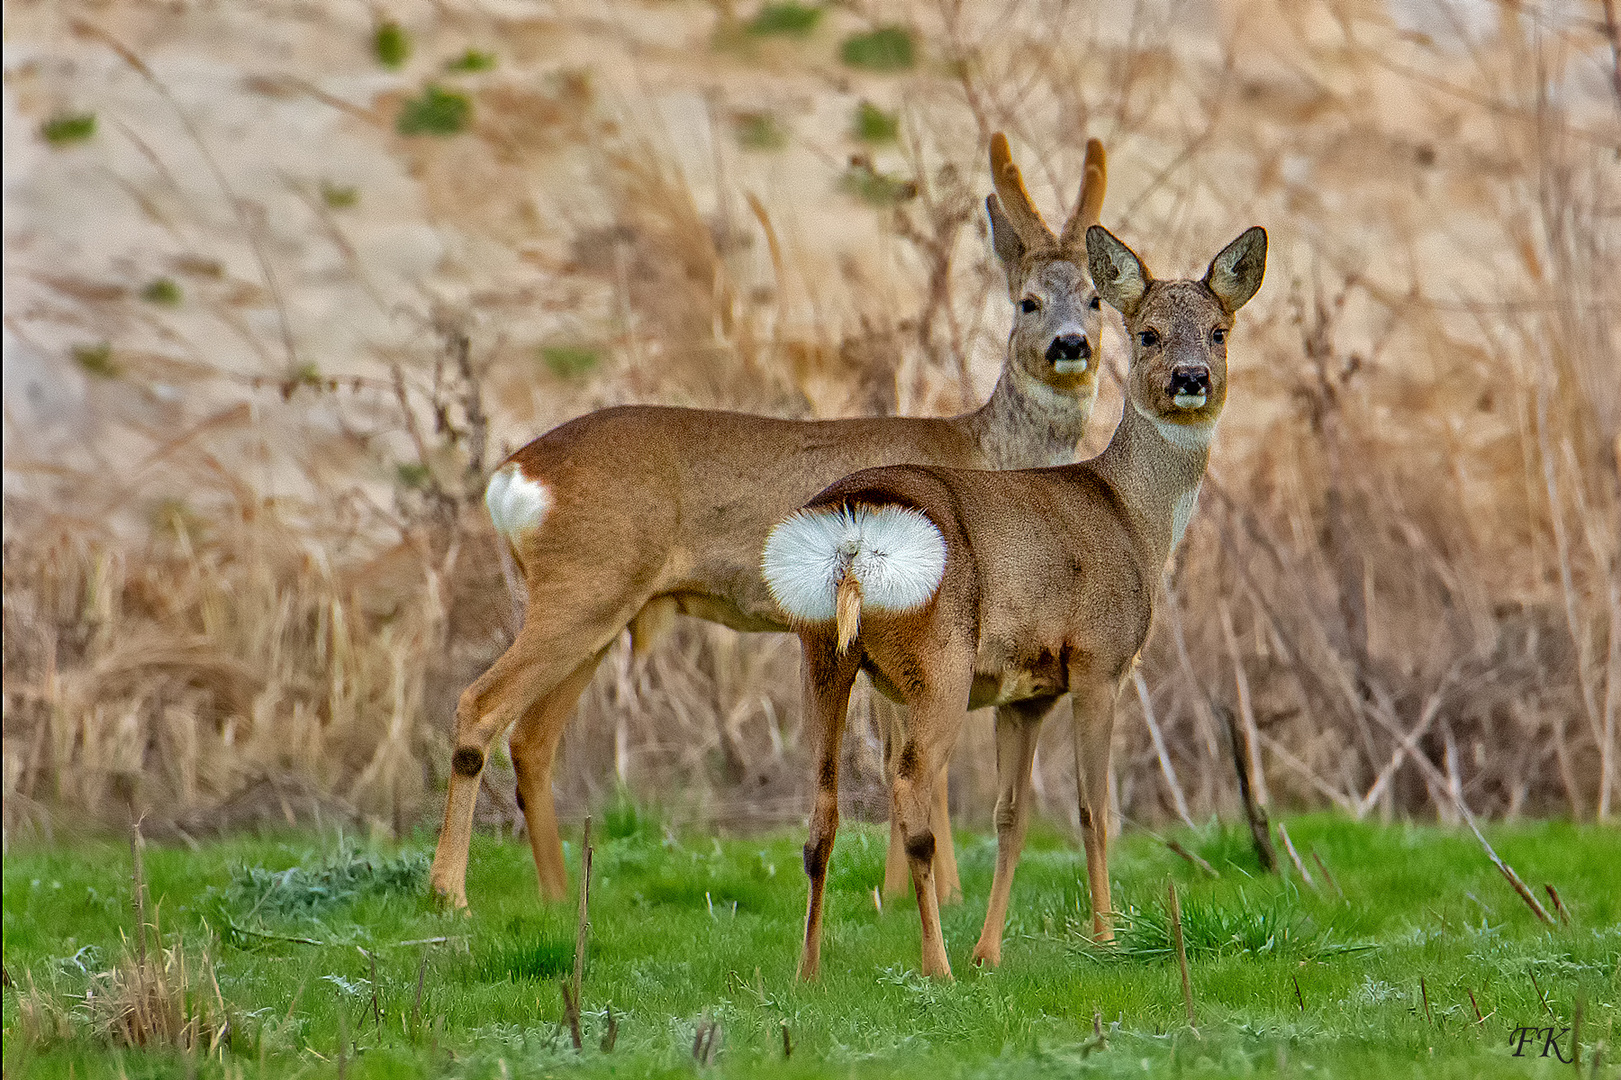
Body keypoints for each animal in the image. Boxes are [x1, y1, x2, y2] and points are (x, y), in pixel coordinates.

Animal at [427, 134, 1115, 908]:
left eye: (1094, 299)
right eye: (1027, 302)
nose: (1070, 345)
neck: (985, 453)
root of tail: (514, 476)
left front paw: (903, 896)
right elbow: (907, 758)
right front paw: (934, 897)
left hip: (599, 605)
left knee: (533, 737)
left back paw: (553, 898)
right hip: (586, 585)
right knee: (479, 707)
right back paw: (450, 893)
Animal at [758, 220, 1264, 972]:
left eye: (1218, 331)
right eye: (1146, 333)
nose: (1190, 379)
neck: (1134, 517)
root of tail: (852, 535)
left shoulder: (1024, 692)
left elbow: (1011, 817)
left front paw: (989, 951)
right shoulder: (1098, 660)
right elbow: (1093, 809)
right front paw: (1105, 936)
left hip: (822, 652)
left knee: (821, 810)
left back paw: (809, 973)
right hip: (936, 661)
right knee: (910, 790)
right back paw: (933, 965)